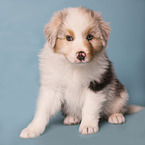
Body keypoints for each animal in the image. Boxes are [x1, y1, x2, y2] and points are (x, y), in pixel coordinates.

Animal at [19, 6, 129, 138]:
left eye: (90, 37)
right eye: (69, 38)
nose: (81, 54)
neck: (74, 67)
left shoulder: (96, 84)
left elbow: (89, 108)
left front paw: (88, 126)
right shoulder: (52, 87)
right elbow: (43, 110)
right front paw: (32, 129)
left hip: (120, 92)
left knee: (119, 107)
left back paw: (116, 116)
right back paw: (72, 118)